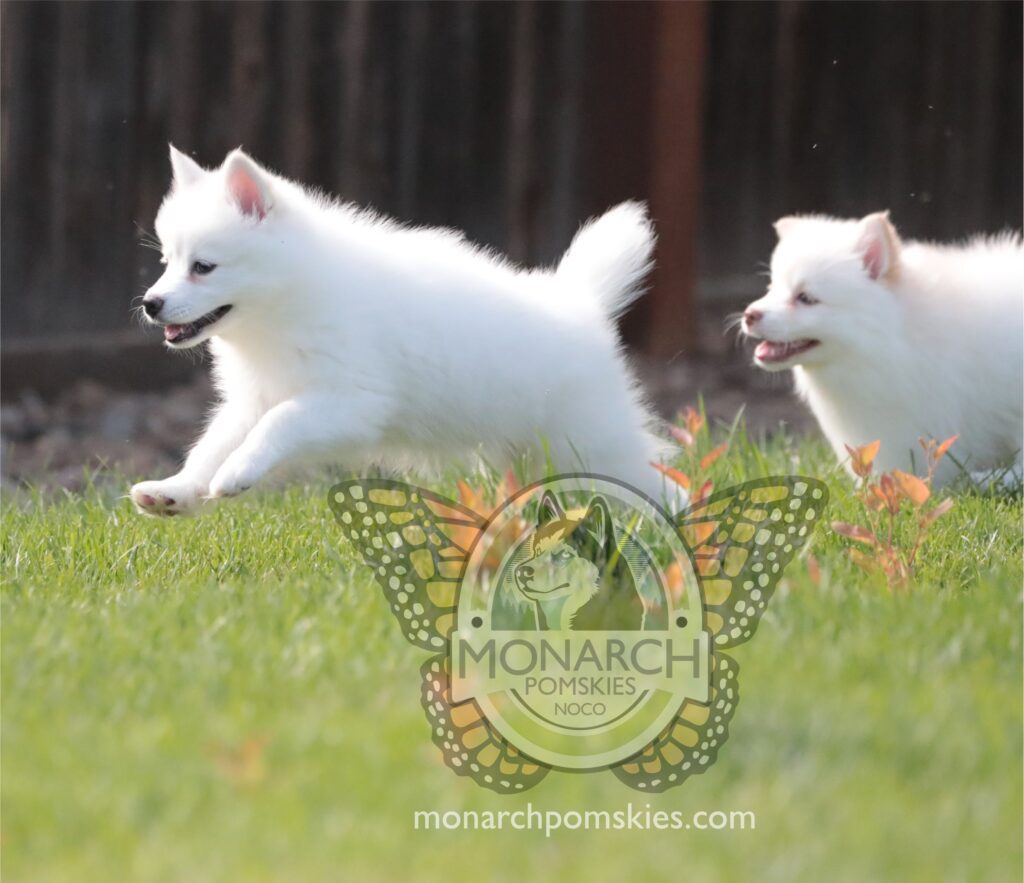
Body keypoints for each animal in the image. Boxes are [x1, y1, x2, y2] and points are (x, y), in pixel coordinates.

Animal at [134, 147, 679, 514]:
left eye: (203, 267)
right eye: (166, 263)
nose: (150, 304)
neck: (291, 299)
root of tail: (581, 304)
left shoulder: (351, 402)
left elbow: (278, 425)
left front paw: (236, 473)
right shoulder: (256, 396)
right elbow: (214, 442)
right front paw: (177, 490)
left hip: (593, 443)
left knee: (661, 485)